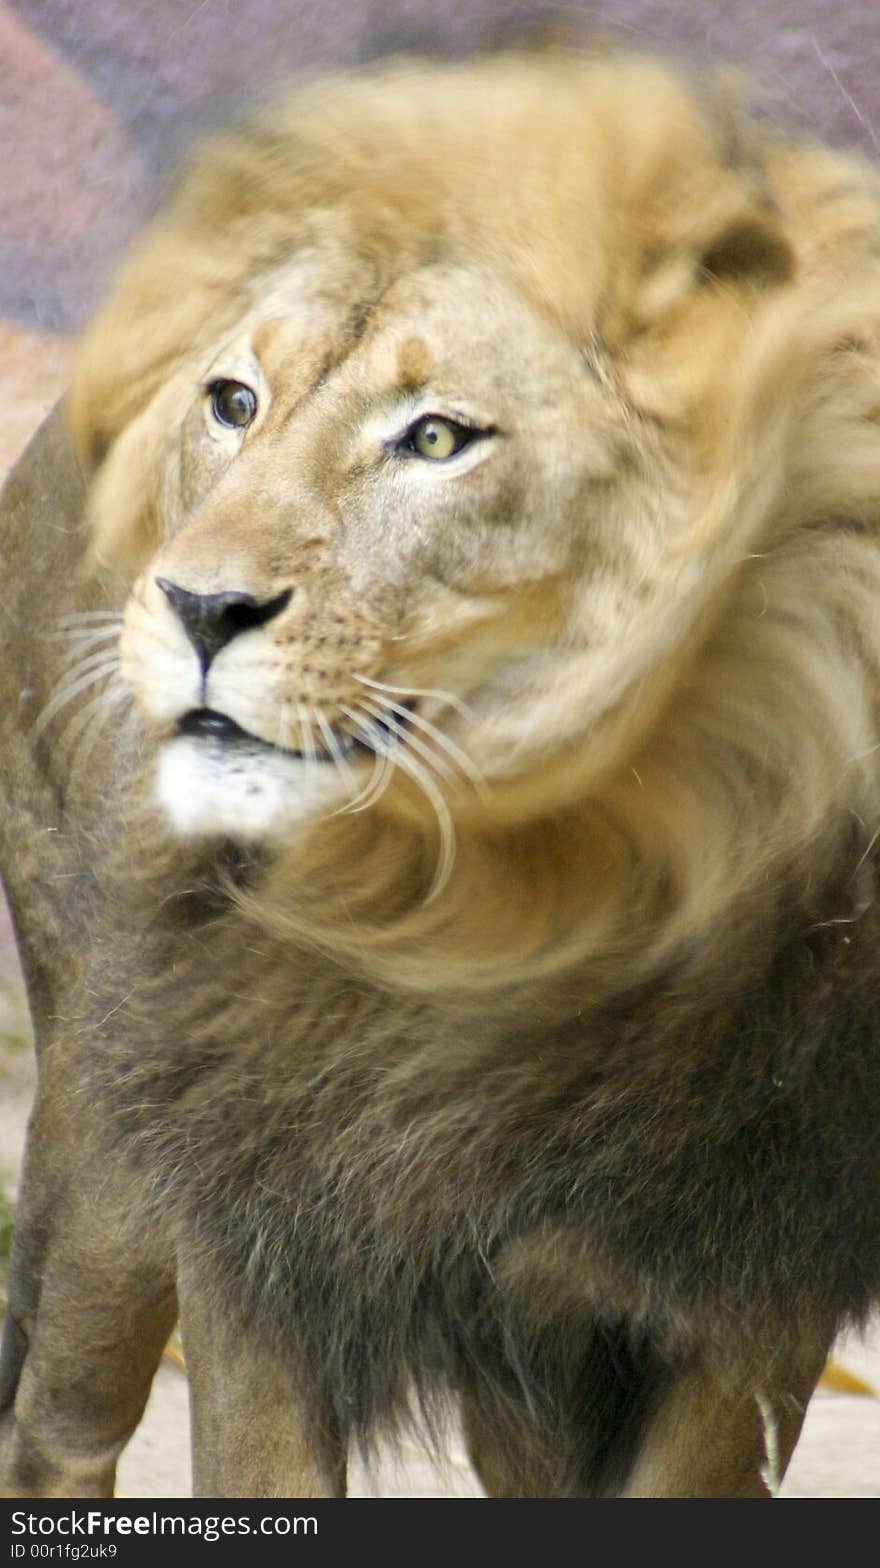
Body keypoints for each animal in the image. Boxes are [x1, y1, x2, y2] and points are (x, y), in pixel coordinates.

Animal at [1, 42, 878, 1499]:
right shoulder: (250, 1204)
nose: (197, 604)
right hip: (101, 1148)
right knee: (55, 1419)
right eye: (233, 403)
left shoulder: (749, 1275)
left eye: (436, 437)